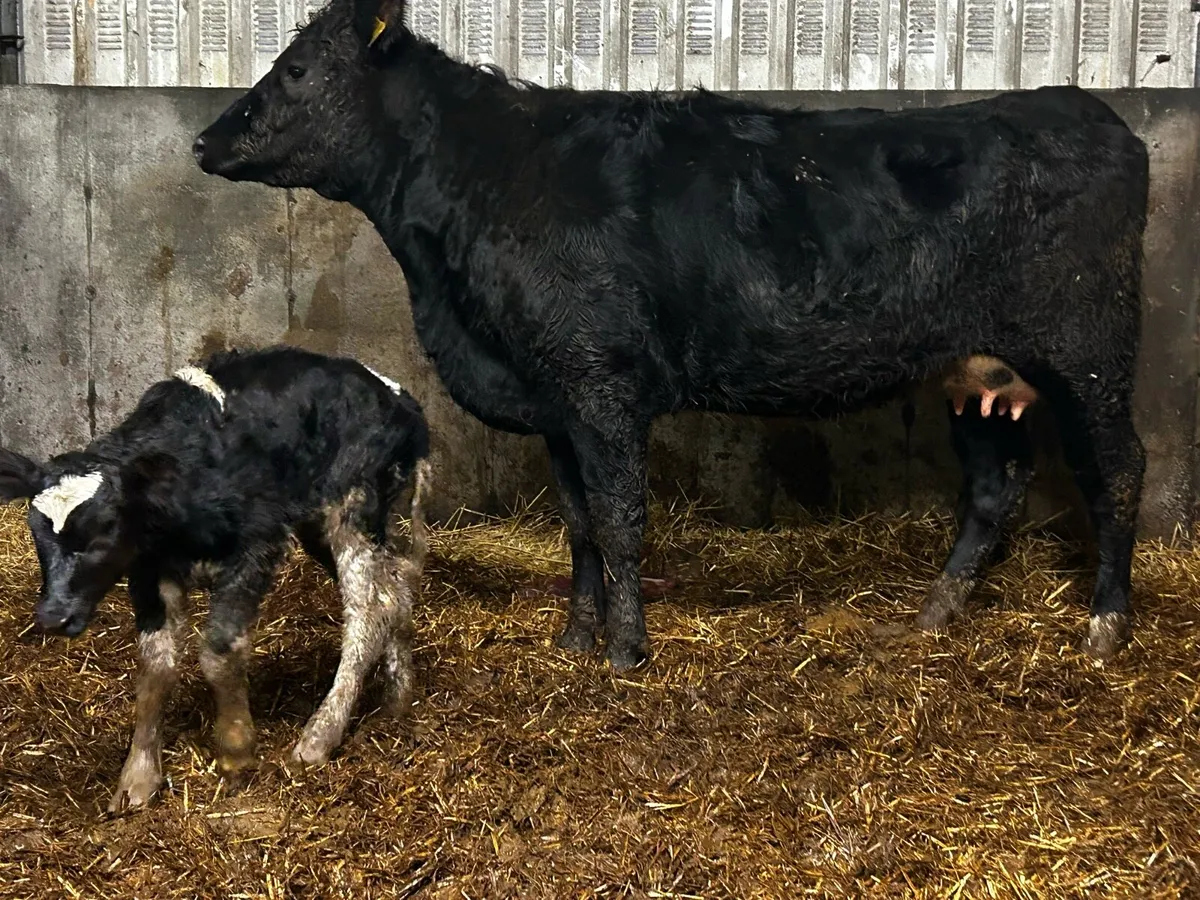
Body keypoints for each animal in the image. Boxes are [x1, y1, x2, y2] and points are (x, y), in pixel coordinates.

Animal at [0, 345, 432, 812]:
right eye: (36, 533)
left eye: (103, 532)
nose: (53, 616)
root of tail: (398, 396)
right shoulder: (148, 571)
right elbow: (155, 666)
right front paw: (137, 777)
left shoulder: (256, 547)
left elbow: (219, 652)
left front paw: (236, 752)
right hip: (323, 522)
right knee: (395, 593)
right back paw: (397, 701)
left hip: (352, 504)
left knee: (369, 612)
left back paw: (319, 736)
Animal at [193, 0, 1149, 671]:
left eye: (299, 68)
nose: (205, 139)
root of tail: (1090, 113)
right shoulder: (554, 399)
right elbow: (577, 521)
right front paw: (576, 638)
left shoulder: (601, 383)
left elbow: (620, 520)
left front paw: (626, 650)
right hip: (976, 368)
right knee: (995, 485)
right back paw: (935, 613)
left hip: (1091, 350)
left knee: (1119, 471)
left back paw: (1106, 626)